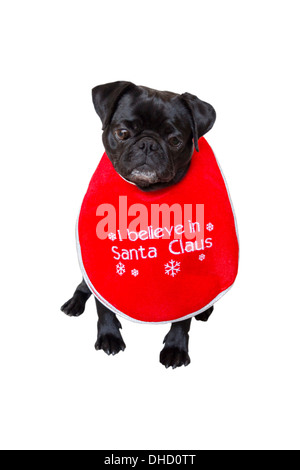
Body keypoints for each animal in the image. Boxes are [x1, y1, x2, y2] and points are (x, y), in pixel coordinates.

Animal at [61, 80, 216, 368]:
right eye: (122, 133)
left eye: (175, 140)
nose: (147, 145)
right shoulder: (102, 269)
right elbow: (103, 307)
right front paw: (109, 336)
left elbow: (183, 318)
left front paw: (176, 347)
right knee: (83, 288)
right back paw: (74, 304)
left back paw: (206, 309)